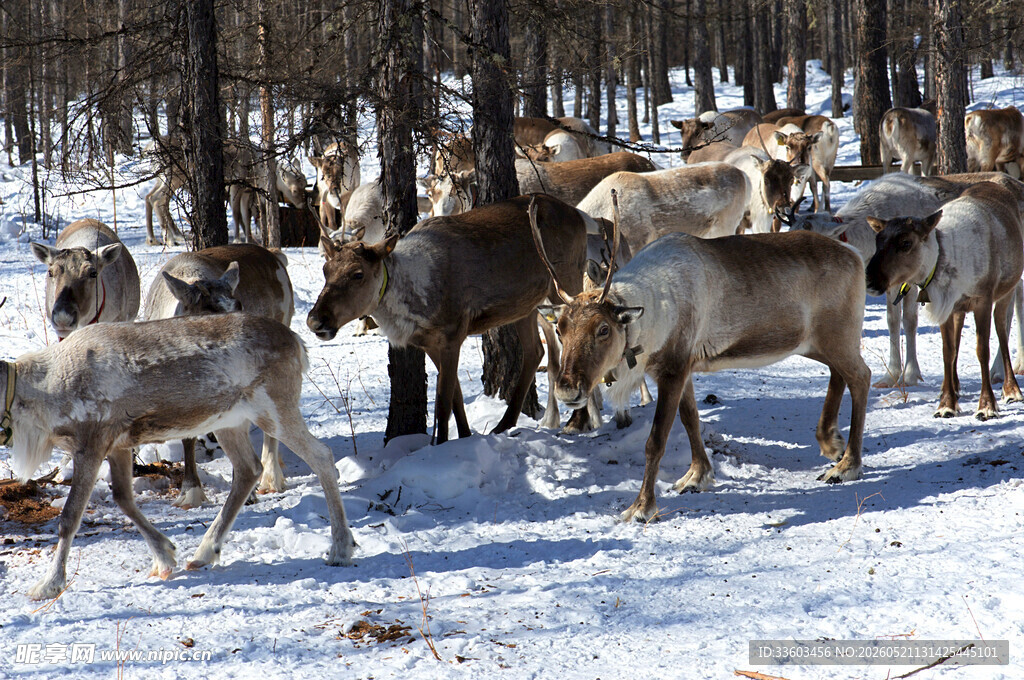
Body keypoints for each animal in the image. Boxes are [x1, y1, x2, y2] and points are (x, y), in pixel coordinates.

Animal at [1, 314, 354, 600]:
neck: (42, 392)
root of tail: (298, 343)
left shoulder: (91, 443)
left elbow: (70, 517)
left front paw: (48, 585)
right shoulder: (118, 445)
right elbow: (123, 498)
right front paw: (165, 556)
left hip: (275, 409)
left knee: (322, 456)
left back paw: (340, 549)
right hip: (229, 422)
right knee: (248, 469)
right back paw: (203, 554)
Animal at [143, 243, 295, 508]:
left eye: (239, 306)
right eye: (206, 313)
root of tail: (274, 256)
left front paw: (247, 493)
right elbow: (188, 437)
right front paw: (190, 491)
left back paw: (272, 477)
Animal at [306, 193, 591, 443]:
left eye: (358, 274)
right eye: (325, 269)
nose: (315, 320)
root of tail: (579, 215)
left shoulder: (453, 334)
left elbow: (443, 402)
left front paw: (440, 444)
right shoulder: (430, 343)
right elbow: (456, 396)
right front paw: (464, 437)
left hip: (566, 280)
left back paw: (577, 420)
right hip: (525, 306)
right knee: (534, 351)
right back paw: (504, 425)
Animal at [539, 194, 870, 522]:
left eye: (604, 329)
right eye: (560, 328)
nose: (567, 390)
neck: (651, 312)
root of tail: (854, 254)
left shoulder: (673, 368)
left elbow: (656, 440)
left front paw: (642, 507)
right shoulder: (681, 366)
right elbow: (691, 420)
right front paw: (697, 476)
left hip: (837, 334)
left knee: (861, 377)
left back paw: (847, 465)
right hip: (818, 342)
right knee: (839, 373)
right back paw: (831, 443)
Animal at [865, 182, 1024, 419]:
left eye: (905, 243)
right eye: (878, 241)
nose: (869, 278)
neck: (941, 260)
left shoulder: (983, 299)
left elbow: (982, 350)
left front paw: (987, 406)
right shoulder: (945, 306)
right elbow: (948, 351)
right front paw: (946, 404)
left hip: (1006, 290)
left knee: (1002, 331)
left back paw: (1011, 390)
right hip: (959, 308)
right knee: (958, 338)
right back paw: (953, 388)